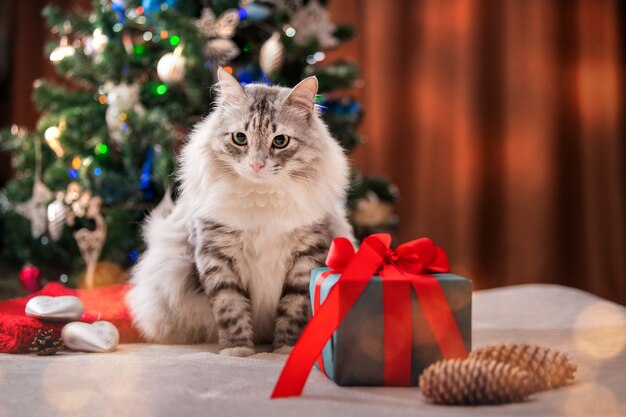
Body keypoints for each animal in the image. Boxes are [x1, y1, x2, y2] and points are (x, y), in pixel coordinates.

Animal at [127, 66, 352, 356]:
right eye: (240, 138)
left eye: (280, 141)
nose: (256, 165)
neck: (262, 199)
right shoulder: (217, 256)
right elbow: (230, 308)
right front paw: (238, 351)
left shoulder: (306, 256)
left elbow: (292, 309)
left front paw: (285, 349)